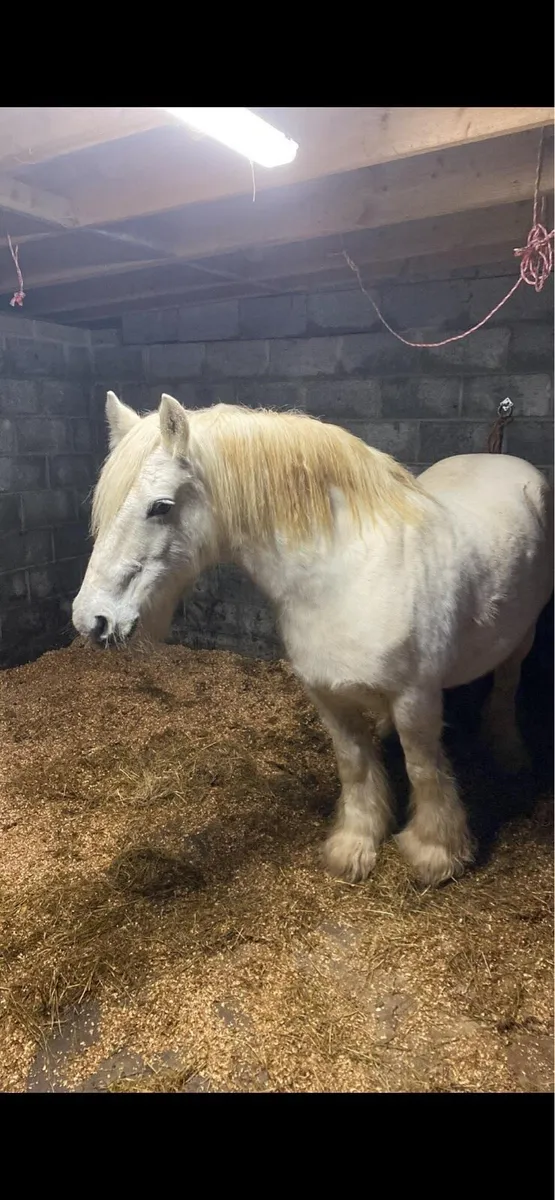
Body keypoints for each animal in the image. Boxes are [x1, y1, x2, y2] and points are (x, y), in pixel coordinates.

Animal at [72, 392, 554, 887]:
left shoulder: (415, 697)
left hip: (521, 638)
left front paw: (435, 853)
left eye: (161, 506)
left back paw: (510, 754)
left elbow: (423, 767)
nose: (91, 619)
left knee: (505, 689)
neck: (348, 578)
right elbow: (355, 765)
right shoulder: (326, 694)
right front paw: (355, 845)